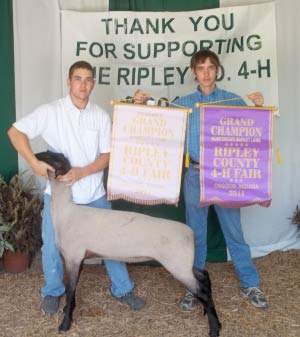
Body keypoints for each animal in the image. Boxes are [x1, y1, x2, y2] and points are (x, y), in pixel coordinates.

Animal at [35, 151, 223, 334]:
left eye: (52, 157)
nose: (35, 156)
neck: (66, 213)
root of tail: (190, 233)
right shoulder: (79, 258)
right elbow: (72, 292)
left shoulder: (73, 256)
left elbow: (70, 290)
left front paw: (65, 324)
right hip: (183, 263)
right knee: (204, 275)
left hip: (178, 265)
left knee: (202, 292)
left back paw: (214, 328)